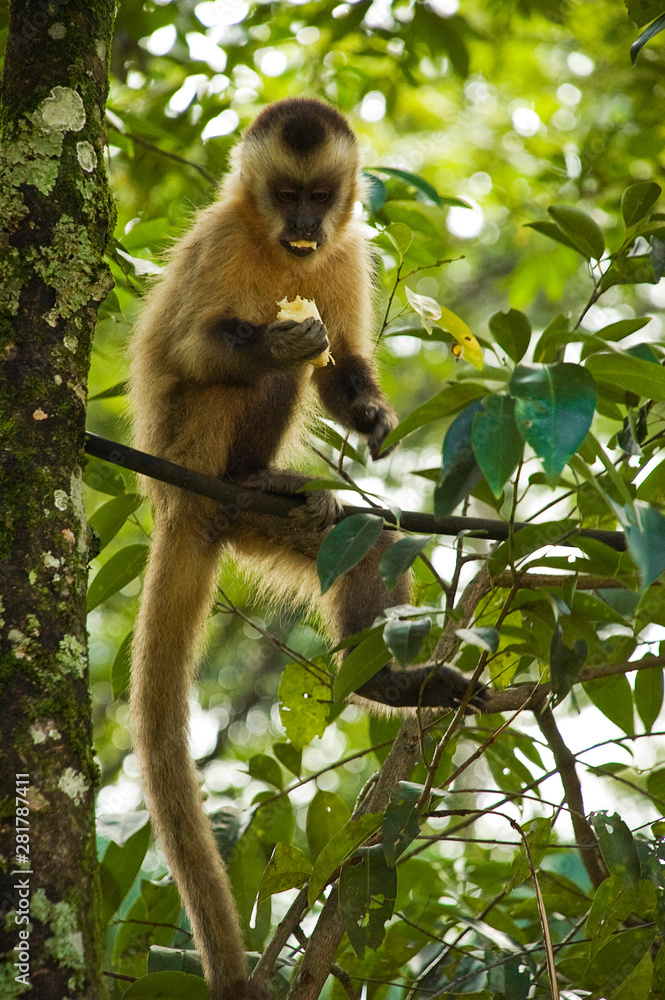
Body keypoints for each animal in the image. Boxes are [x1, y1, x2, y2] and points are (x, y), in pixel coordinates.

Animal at [128, 97, 484, 1000]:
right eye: (284, 195)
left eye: (317, 198)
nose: (299, 228)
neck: (269, 237)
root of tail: (178, 505)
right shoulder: (222, 238)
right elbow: (197, 348)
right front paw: (278, 341)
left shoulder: (347, 246)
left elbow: (341, 363)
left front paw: (370, 416)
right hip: (188, 448)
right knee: (237, 375)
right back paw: (255, 464)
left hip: (261, 530)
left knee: (363, 536)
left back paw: (389, 678)